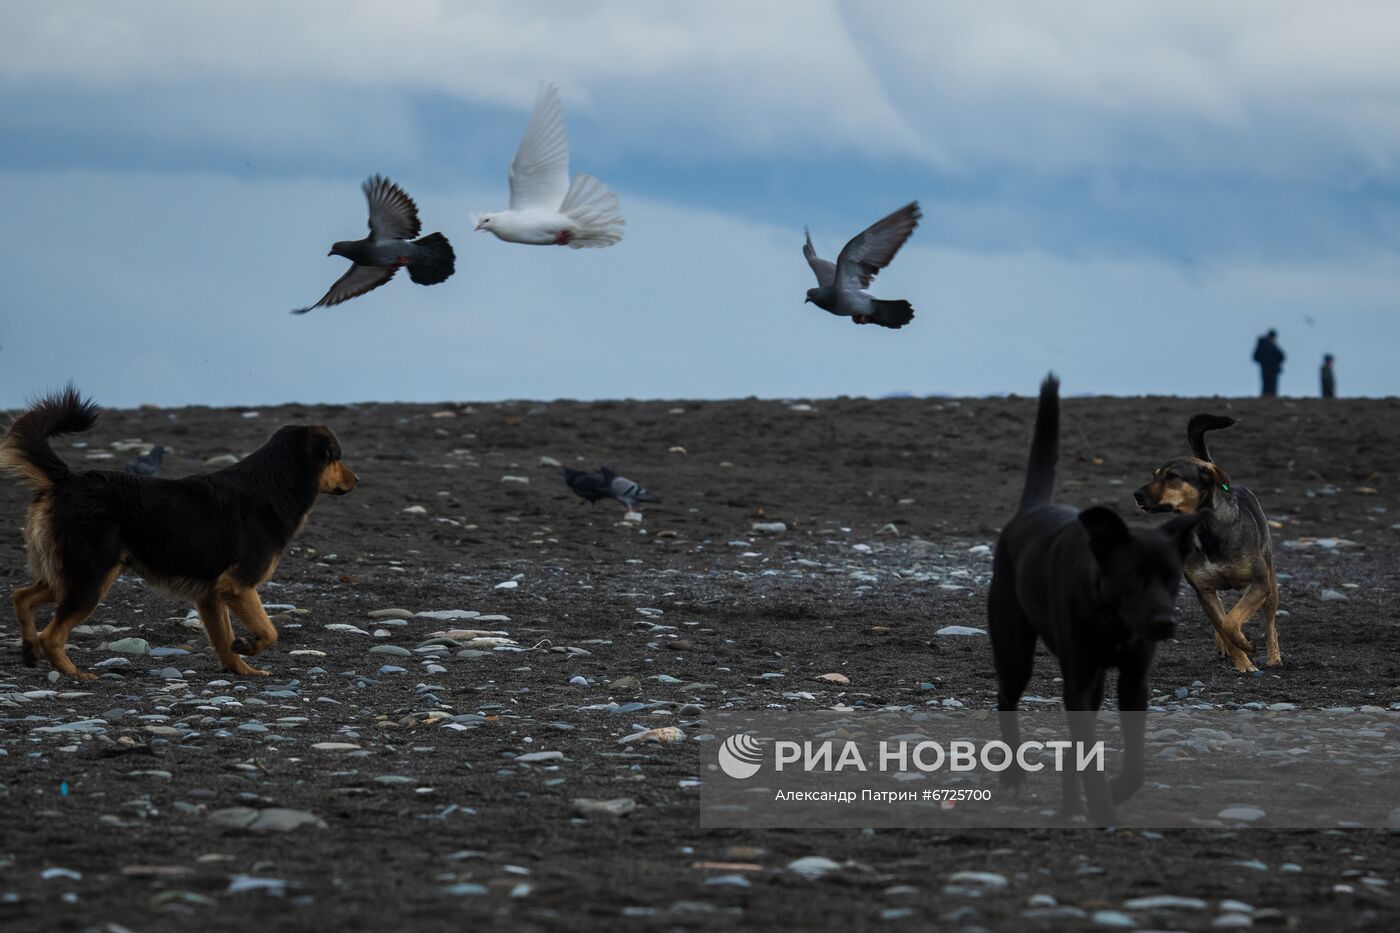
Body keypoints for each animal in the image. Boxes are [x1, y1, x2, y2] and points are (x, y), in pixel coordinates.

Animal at [4, 381, 355, 680]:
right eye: (336, 457)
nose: (358, 480)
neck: (274, 484)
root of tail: (68, 479)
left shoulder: (212, 595)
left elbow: (224, 641)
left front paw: (242, 669)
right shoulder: (238, 585)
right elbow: (270, 631)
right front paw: (250, 647)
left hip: (70, 574)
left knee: (22, 596)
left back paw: (29, 651)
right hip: (91, 578)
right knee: (52, 635)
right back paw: (74, 673)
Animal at [985, 372, 1204, 823]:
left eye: (1172, 578)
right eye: (1132, 576)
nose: (1165, 624)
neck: (1113, 618)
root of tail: (1028, 513)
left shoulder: (1133, 679)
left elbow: (1132, 761)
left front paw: (1117, 792)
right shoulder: (1080, 677)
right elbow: (1089, 754)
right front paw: (1104, 808)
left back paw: (1070, 808)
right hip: (1015, 649)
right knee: (1005, 698)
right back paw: (1014, 777)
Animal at [1136, 414, 1282, 669]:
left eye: (1172, 476)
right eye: (1154, 475)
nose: (1137, 495)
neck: (1207, 531)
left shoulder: (1259, 583)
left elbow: (1231, 621)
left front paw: (1246, 646)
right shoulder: (1203, 590)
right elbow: (1224, 623)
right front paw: (1242, 660)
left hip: (1270, 580)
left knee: (1269, 620)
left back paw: (1274, 656)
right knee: (1222, 616)